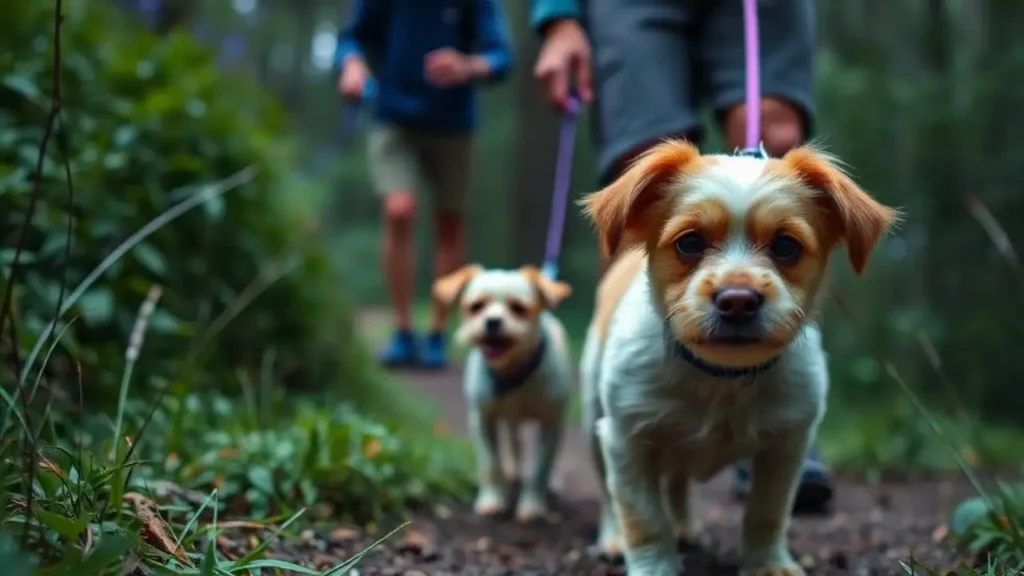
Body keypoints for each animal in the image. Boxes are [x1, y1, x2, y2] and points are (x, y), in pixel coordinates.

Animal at [434, 264, 577, 520]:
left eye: (518, 308)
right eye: (476, 306)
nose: (492, 321)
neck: (511, 373)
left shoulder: (551, 422)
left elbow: (541, 466)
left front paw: (532, 505)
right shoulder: (482, 419)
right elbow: (491, 463)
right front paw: (492, 500)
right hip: (509, 421)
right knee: (513, 443)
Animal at [581, 140, 901, 573]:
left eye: (786, 246)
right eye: (690, 243)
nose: (737, 301)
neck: (720, 377)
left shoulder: (787, 445)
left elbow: (767, 513)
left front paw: (767, 565)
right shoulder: (626, 437)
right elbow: (642, 517)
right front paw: (655, 565)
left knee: (678, 483)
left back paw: (685, 527)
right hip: (594, 420)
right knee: (608, 492)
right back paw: (613, 537)